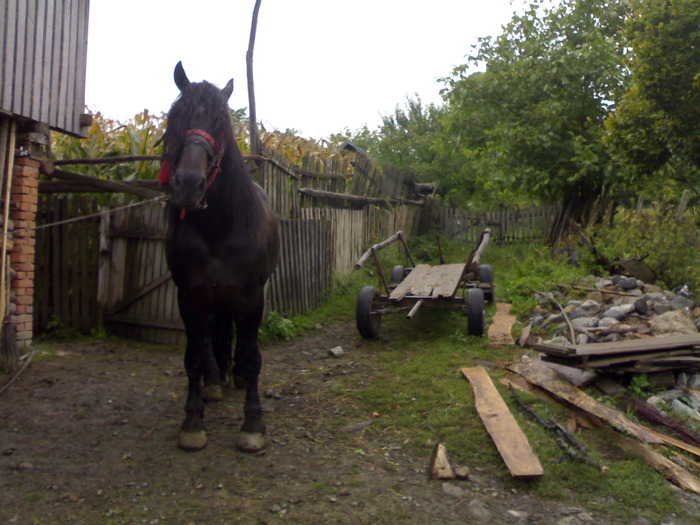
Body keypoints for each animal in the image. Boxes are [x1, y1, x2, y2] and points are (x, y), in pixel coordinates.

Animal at [159, 61, 278, 452]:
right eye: (176, 117)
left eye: (221, 124)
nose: (188, 185)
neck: (220, 227)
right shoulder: (190, 296)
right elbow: (193, 357)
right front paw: (192, 422)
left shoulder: (252, 295)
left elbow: (254, 357)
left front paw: (253, 425)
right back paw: (214, 382)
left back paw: (235, 376)